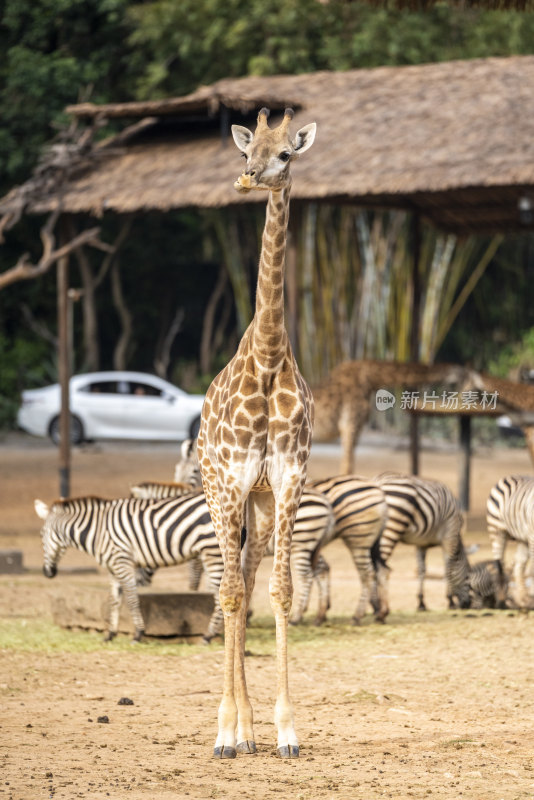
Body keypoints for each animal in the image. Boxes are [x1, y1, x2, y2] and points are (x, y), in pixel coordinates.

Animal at [372, 468, 474, 620]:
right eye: (467, 576)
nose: (467, 605)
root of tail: (378, 480)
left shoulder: (421, 543)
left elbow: (422, 570)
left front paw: (421, 603)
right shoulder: (449, 535)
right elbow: (448, 568)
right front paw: (450, 601)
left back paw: (373, 605)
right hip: (392, 527)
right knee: (379, 567)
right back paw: (379, 608)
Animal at [488, 476, 534, 608]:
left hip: (523, 538)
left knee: (519, 566)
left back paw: (524, 600)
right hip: (496, 530)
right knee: (500, 565)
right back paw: (501, 601)